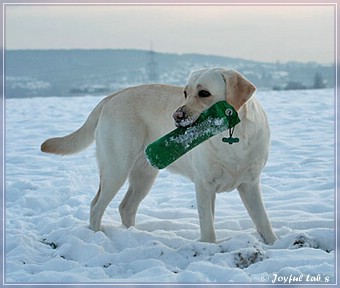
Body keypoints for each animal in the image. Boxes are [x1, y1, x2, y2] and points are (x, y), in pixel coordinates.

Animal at [41, 68, 278, 245]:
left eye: (204, 93)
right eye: (185, 93)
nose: (176, 115)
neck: (231, 139)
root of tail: (112, 96)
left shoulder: (249, 183)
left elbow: (263, 220)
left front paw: (273, 244)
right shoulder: (204, 185)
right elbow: (208, 227)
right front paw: (210, 247)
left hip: (145, 175)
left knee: (125, 207)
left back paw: (134, 235)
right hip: (116, 168)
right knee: (96, 205)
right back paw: (96, 236)